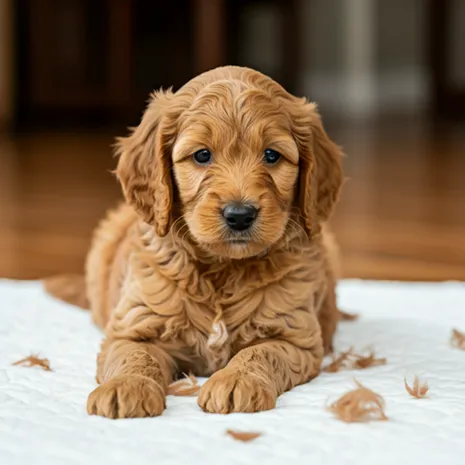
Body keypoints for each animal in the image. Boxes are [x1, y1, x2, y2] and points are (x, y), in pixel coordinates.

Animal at [85, 67, 342, 418]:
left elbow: (259, 353)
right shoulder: (132, 328)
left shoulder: (294, 337)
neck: (223, 270)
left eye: (272, 155)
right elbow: (137, 356)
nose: (240, 215)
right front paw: (127, 386)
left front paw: (236, 381)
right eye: (202, 155)